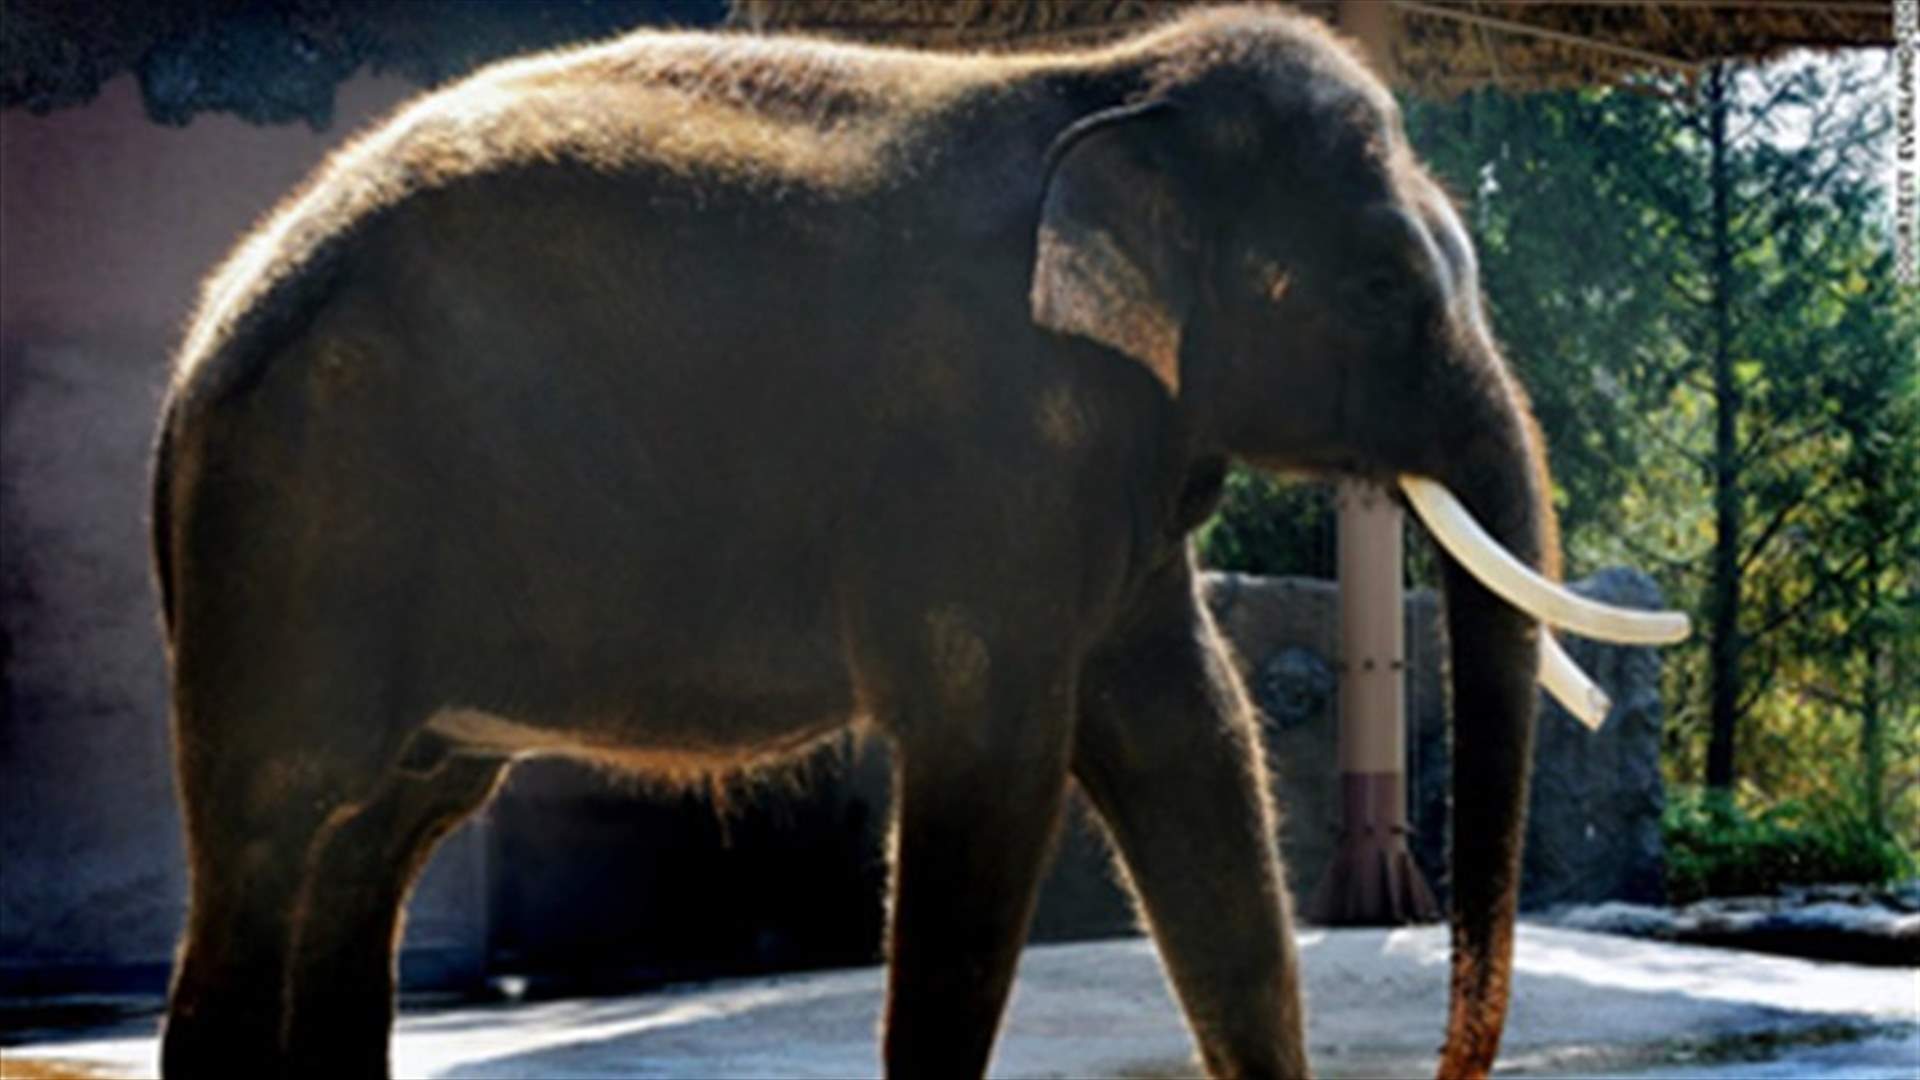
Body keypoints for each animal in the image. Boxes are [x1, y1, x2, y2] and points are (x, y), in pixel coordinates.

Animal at [151, 7, 1684, 1078]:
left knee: (379, 837)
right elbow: (994, 766)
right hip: (294, 526)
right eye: (1378, 285)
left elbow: (1195, 755)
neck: (1108, 83)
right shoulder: (981, 449)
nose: (1454, 1058)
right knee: (275, 823)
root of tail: (213, 314)